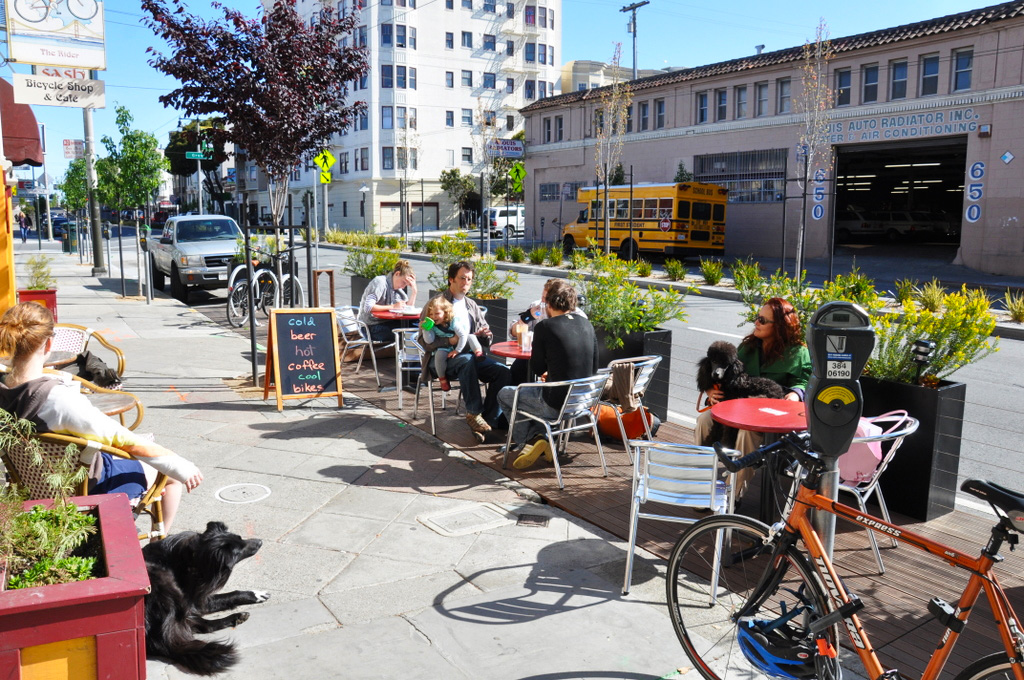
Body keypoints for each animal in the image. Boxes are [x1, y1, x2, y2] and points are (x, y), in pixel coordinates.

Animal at [146, 520, 272, 675]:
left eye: (240, 538)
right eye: (239, 551)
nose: (260, 542)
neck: (192, 559)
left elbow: (230, 595)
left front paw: (256, 594)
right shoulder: (195, 602)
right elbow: (228, 595)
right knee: (205, 626)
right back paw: (236, 617)